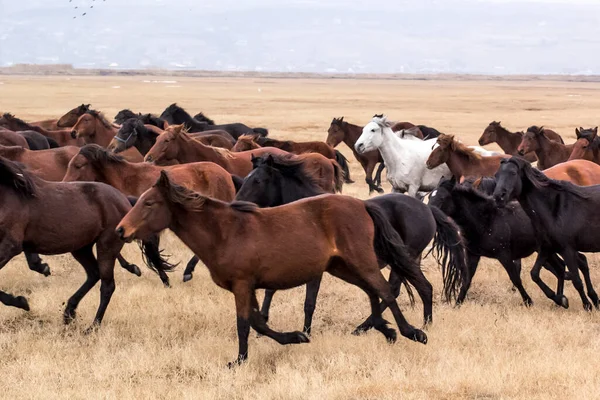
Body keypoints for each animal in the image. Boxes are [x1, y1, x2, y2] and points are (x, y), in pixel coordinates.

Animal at [113, 171, 432, 366]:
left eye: (149, 203)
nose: (120, 230)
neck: (224, 232)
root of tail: (363, 205)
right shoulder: (249, 287)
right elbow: (259, 322)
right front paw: (296, 337)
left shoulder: (242, 285)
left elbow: (244, 324)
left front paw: (239, 361)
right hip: (342, 267)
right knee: (374, 292)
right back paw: (385, 331)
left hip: (360, 261)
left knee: (385, 291)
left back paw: (412, 332)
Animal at [182, 153, 464, 334]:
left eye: (258, 180)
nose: (235, 204)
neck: (307, 211)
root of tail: (428, 210)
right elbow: (271, 290)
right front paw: (264, 319)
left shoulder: (314, 268)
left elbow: (309, 301)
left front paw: (306, 330)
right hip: (403, 259)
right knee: (416, 287)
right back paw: (415, 324)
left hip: (404, 257)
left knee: (397, 289)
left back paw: (371, 326)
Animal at [428, 178, 576, 306]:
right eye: (430, 197)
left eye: (442, 198)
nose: (429, 213)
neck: (486, 220)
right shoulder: (473, 255)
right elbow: (466, 281)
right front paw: (458, 304)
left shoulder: (504, 255)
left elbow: (515, 278)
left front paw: (528, 301)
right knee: (560, 267)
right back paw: (559, 300)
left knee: (559, 267)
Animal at [492, 158, 600, 310]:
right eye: (496, 175)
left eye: (513, 173)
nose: (498, 197)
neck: (554, 209)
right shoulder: (546, 247)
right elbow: (535, 274)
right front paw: (561, 299)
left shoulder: (567, 249)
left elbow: (576, 280)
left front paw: (587, 306)